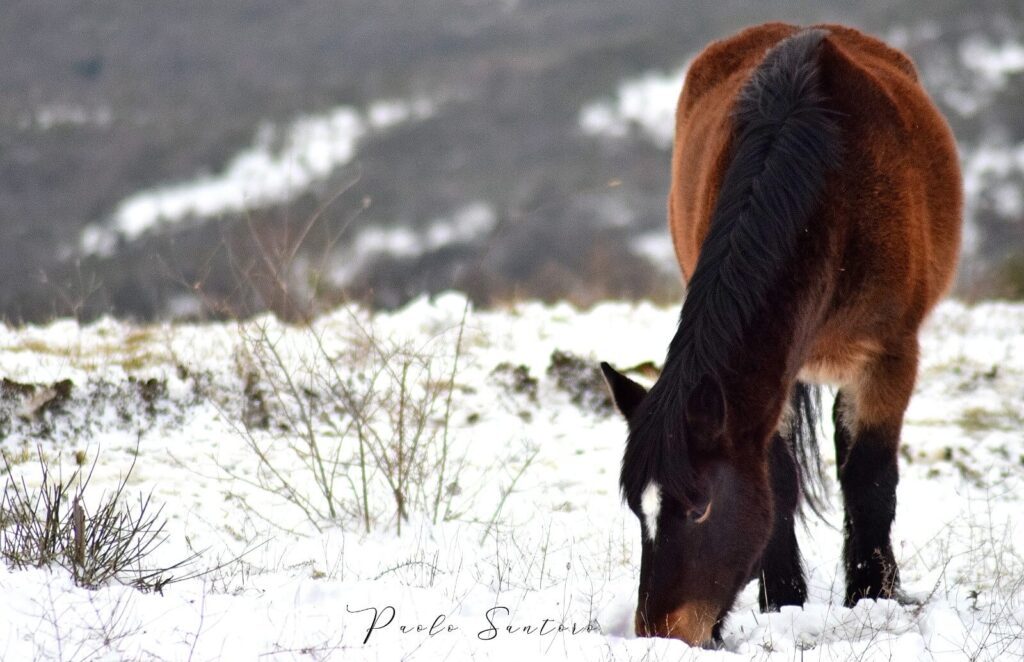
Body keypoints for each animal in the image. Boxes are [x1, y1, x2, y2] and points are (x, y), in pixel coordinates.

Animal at [598, 22, 958, 647]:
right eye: (639, 512)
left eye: (699, 507)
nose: (661, 635)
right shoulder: (774, 382)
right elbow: (781, 480)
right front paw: (783, 601)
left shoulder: (891, 356)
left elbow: (870, 477)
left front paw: (874, 598)